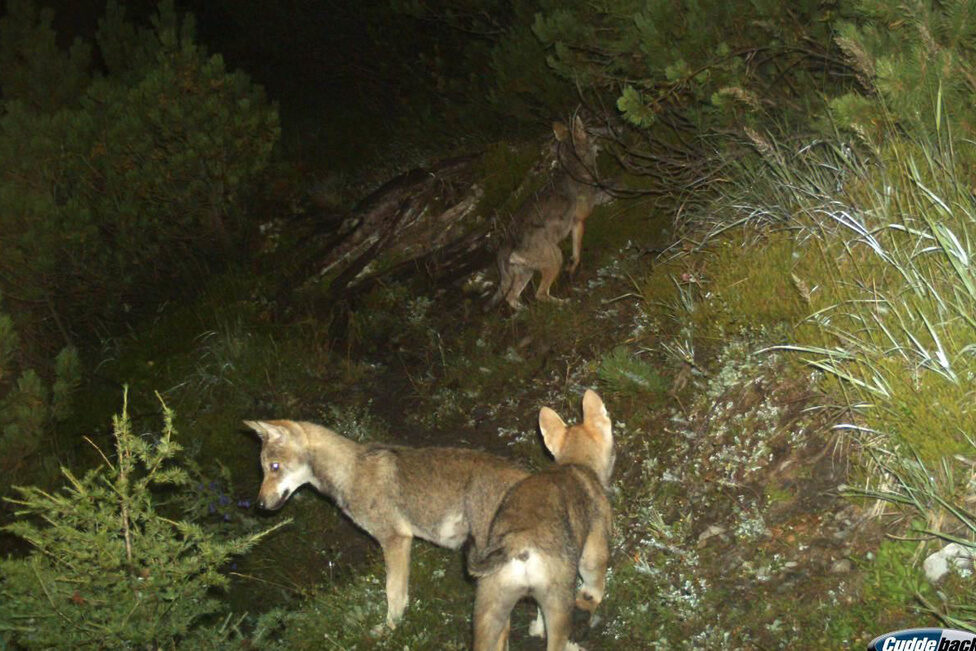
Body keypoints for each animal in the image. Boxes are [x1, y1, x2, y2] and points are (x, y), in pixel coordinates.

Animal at [246, 420, 532, 628]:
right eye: (263, 469)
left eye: (274, 467)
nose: (258, 505)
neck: (349, 473)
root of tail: (527, 476)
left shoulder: (395, 540)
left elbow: (394, 594)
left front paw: (390, 630)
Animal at [468, 392, 616, 651]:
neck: (575, 462)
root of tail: (517, 543)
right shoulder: (593, 551)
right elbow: (593, 588)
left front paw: (536, 629)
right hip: (558, 604)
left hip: (489, 611)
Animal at [488, 116, 604, 312]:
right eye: (588, 131)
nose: (600, 140)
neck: (575, 168)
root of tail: (506, 245)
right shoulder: (579, 220)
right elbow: (577, 251)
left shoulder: (576, 224)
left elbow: (576, 253)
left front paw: (571, 269)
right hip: (555, 257)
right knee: (540, 295)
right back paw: (564, 303)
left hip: (526, 273)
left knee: (511, 298)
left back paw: (524, 311)